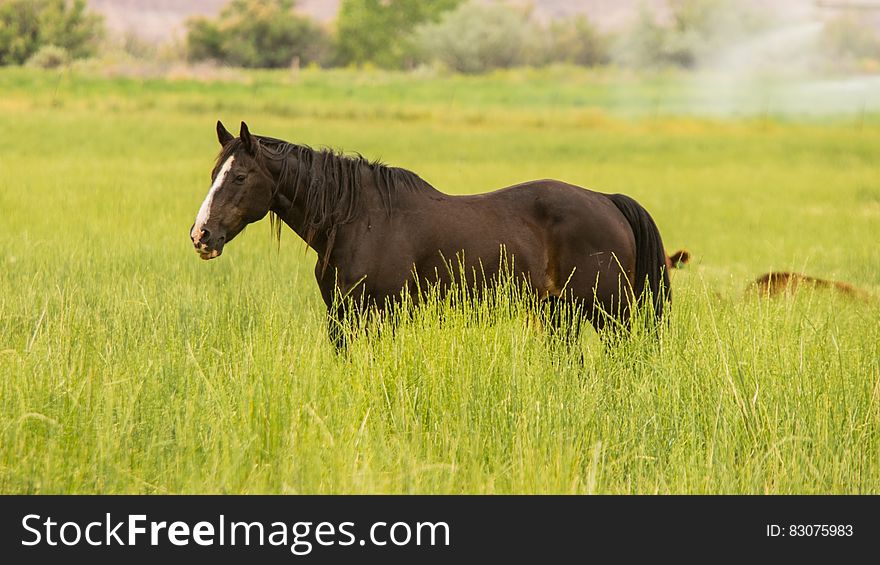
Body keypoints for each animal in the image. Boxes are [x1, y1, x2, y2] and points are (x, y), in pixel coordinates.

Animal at [191, 121, 672, 348]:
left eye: (239, 177)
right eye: (214, 174)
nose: (201, 235)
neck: (357, 219)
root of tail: (606, 200)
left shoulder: (378, 315)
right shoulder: (340, 317)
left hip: (610, 314)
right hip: (560, 314)